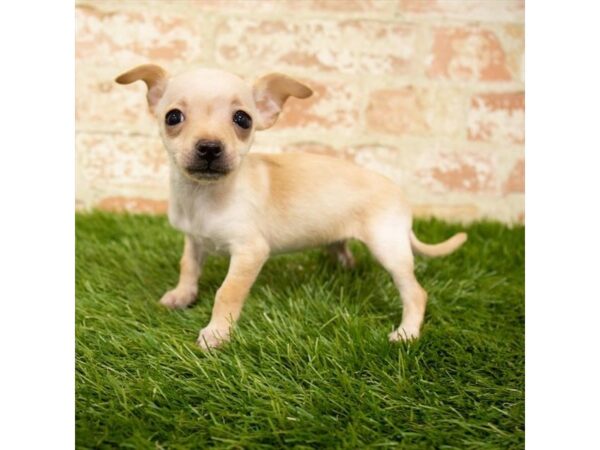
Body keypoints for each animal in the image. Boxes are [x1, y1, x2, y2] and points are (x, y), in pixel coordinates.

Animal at [115, 65, 466, 350]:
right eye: (173, 117)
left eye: (242, 120)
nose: (210, 147)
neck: (203, 195)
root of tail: (401, 195)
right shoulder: (194, 240)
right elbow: (188, 267)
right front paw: (182, 295)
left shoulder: (250, 252)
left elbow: (227, 293)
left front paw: (216, 334)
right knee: (342, 249)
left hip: (388, 247)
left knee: (415, 292)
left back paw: (407, 332)